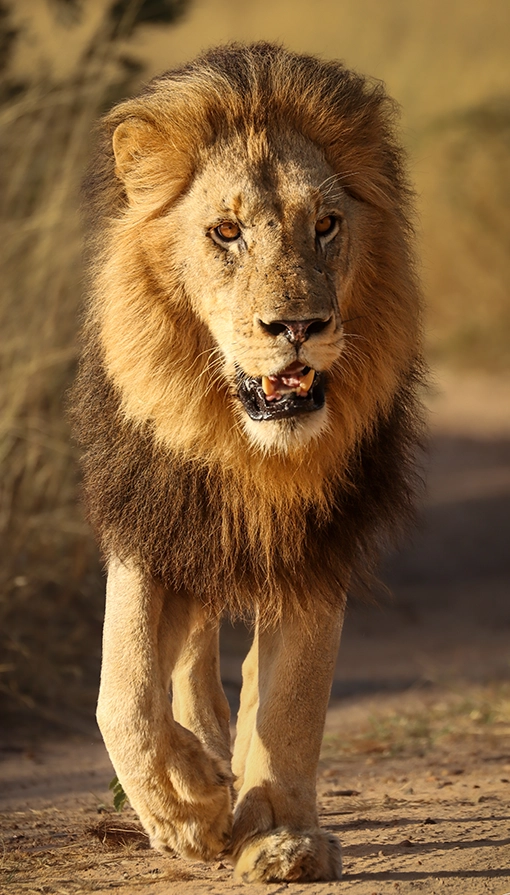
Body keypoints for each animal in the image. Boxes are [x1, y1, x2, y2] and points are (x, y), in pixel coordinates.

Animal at [71, 42, 425, 883]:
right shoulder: (152, 511)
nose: (297, 325)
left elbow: (293, 693)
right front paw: (188, 804)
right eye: (226, 231)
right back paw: (201, 755)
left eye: (326, 224)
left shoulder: (321, 534)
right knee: (188, 652)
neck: (247, 445)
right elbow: (123, 688)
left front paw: (280, 834)